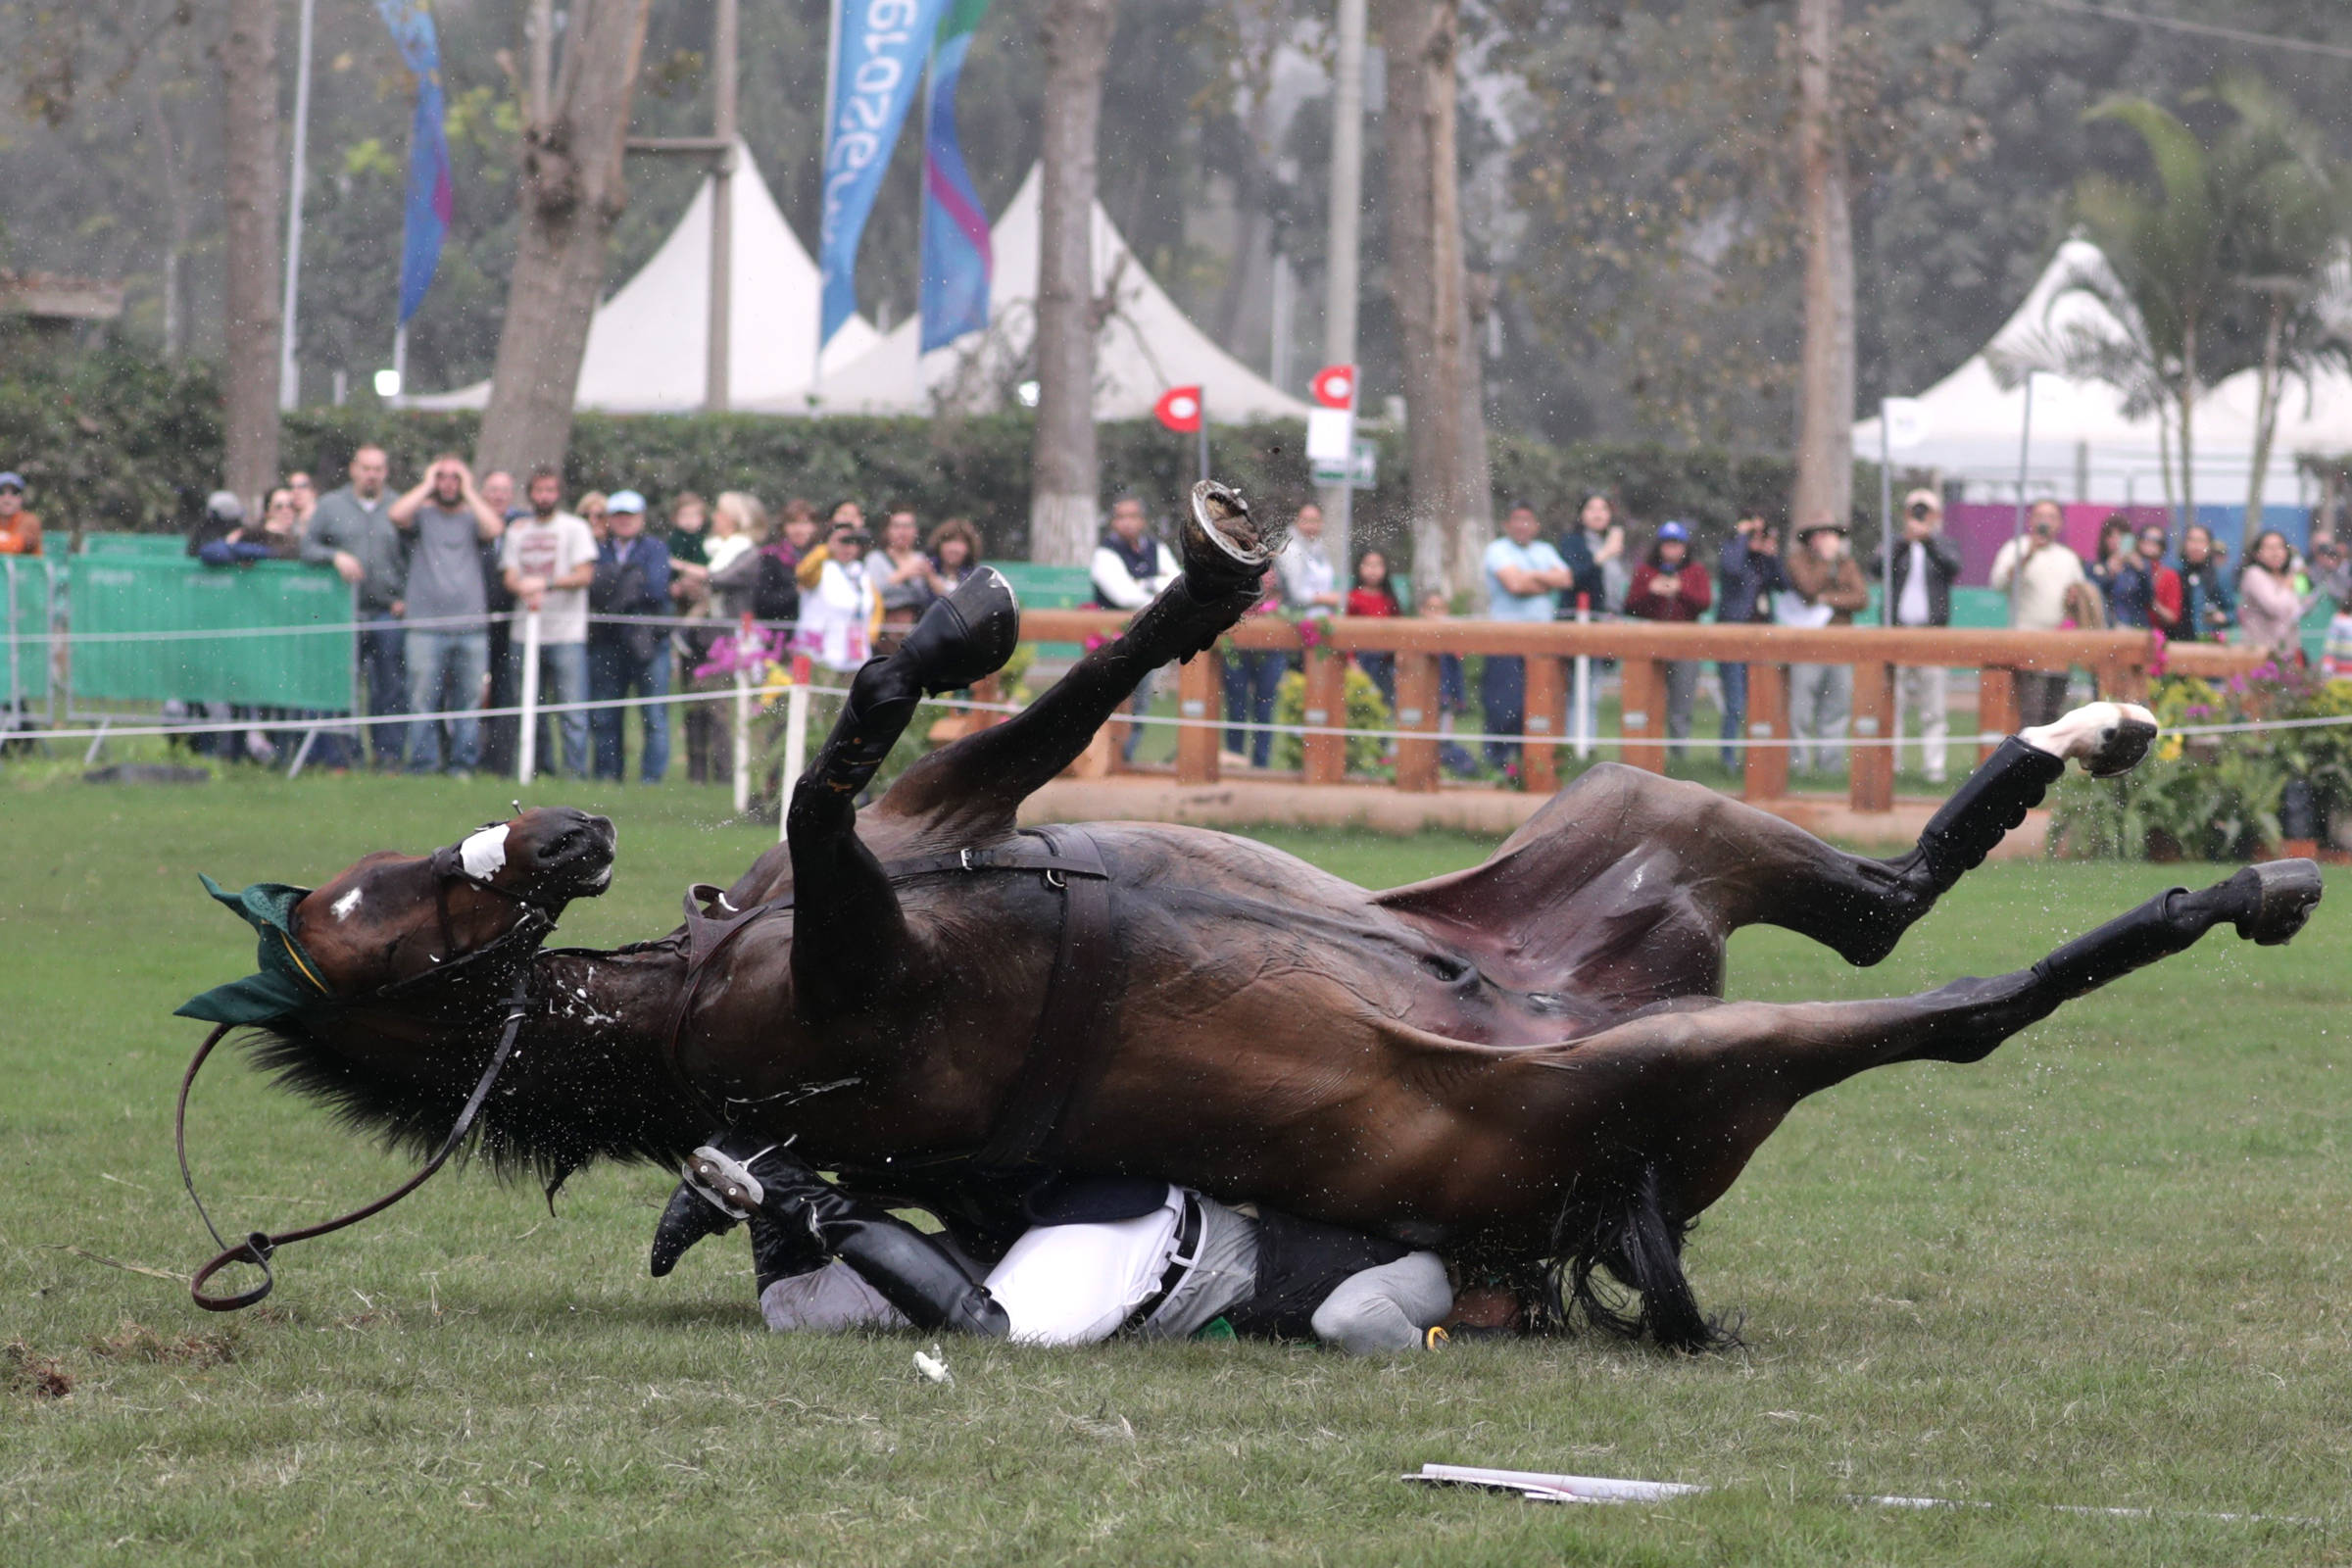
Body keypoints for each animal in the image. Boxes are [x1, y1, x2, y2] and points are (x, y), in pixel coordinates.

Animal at [197, 486, 2314, 1353]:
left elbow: (946, 728)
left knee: (1872, 901)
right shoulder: (874, 974)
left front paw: (1109, 589)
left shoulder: (943, 832)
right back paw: (2237, 884)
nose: (561, 830)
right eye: (370, 903)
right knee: (1941, 994)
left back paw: (2097, 732)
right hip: (1666, 1060)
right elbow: (825, 779)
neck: (704, 987)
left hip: (1634, 832)